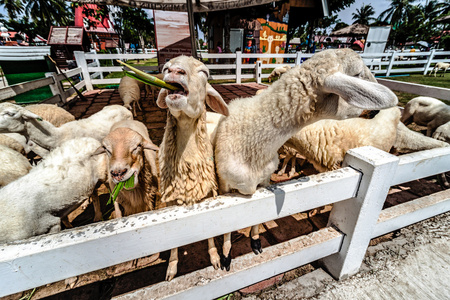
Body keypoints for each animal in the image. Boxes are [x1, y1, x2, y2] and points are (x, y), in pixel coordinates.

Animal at [157, 55, 229, 282]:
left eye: (205, 72)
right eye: (165, 66)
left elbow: (210, 234)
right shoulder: (170, 202)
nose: (174, 70)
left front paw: (214, 256)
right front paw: (172, 266)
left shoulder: (208, 194)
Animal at [214, 48, 398, 255]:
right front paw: (226, 253)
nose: (376, 111)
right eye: (357, 74)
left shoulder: (265, 180)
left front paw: (255, 242)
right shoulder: (224, 185)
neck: (253, 145)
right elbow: (226, 227)